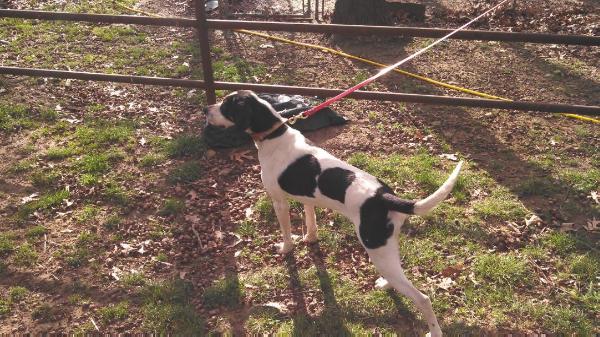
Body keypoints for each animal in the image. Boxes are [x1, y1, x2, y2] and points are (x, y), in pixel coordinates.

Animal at [206, 90, 464, 336]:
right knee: (399, 277)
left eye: (227, 105)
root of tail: (383, 195)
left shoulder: (279, 202)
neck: (274, 135)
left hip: (377, 250)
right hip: (386, 249)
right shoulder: (307, 199)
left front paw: (286, 249)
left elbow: (287, 235)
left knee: (423, 299)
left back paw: (434, 331)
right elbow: (310, 222)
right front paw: (310, 238)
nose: (205, 109)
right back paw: (385, 284)